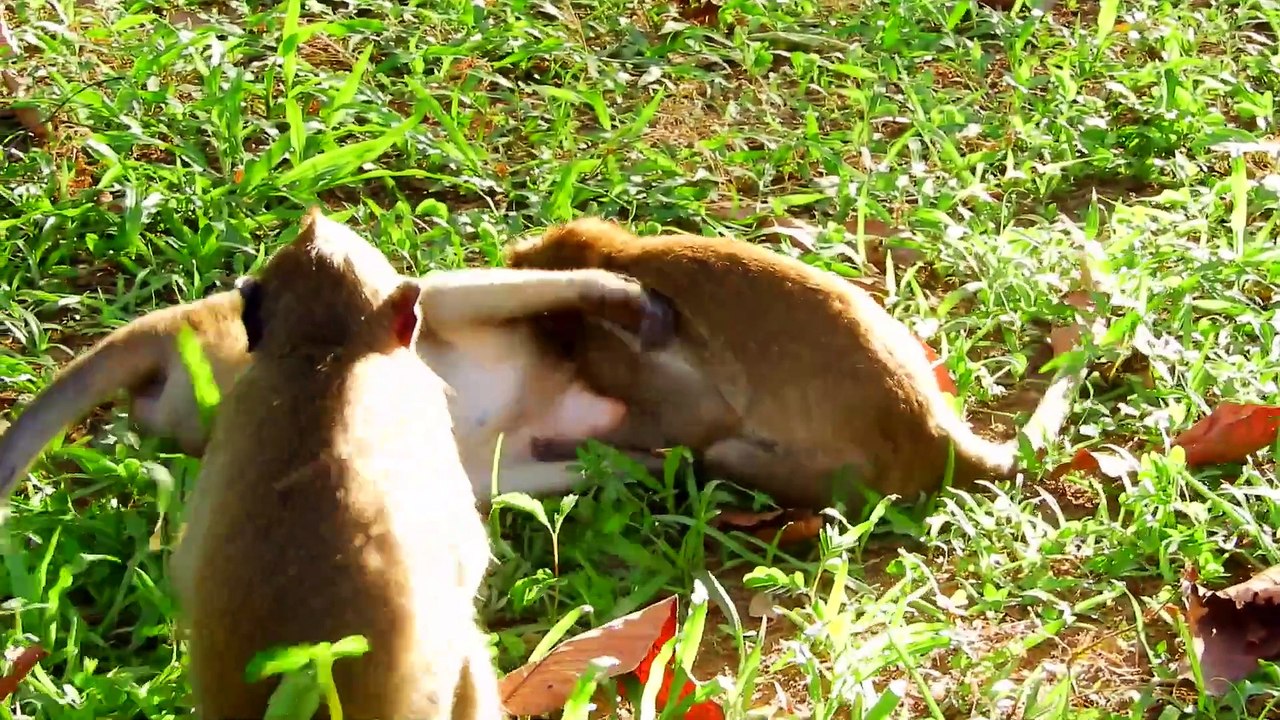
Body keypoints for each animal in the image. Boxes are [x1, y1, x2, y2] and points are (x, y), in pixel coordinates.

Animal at [503, 216, 1091, 512]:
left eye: (553, 327)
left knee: (720, 452)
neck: (621, 257)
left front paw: (580, 448)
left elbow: (700, 419)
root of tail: (932, 430)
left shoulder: (629, 351)